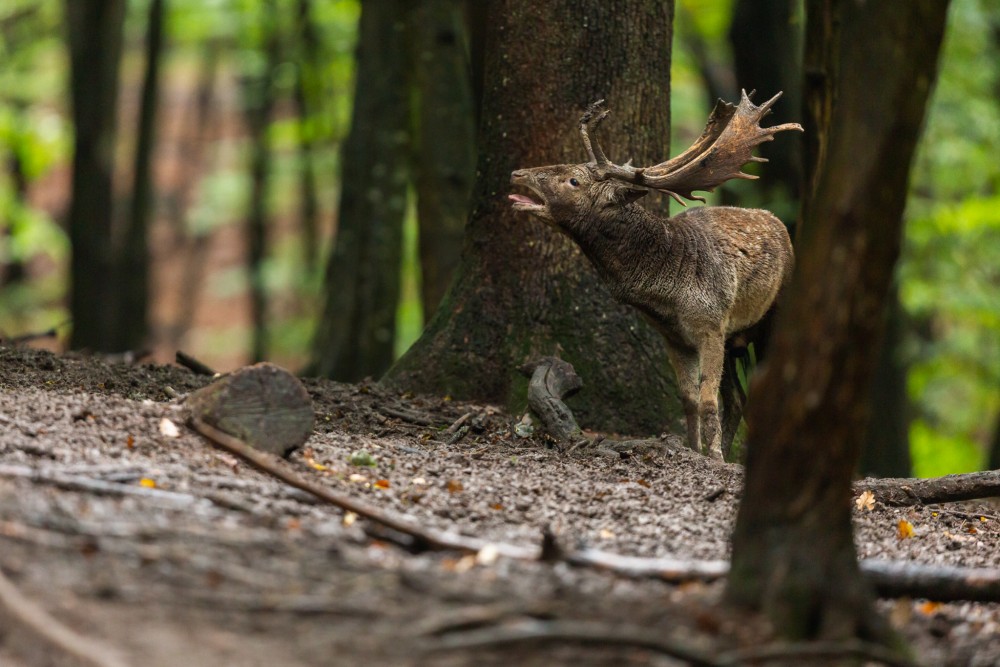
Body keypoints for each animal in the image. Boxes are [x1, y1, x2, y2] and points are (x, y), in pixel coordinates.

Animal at [512, 91, 800, 462]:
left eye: (574, 180)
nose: (518, 173)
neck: (667, 297)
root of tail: (781, 226)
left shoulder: (710, 324)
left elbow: (707, 401)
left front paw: (714, 457)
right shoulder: (675, 337)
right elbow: (689, 400)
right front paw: (695, 449)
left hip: (774, 315)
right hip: (734, 338)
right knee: (738, 398)